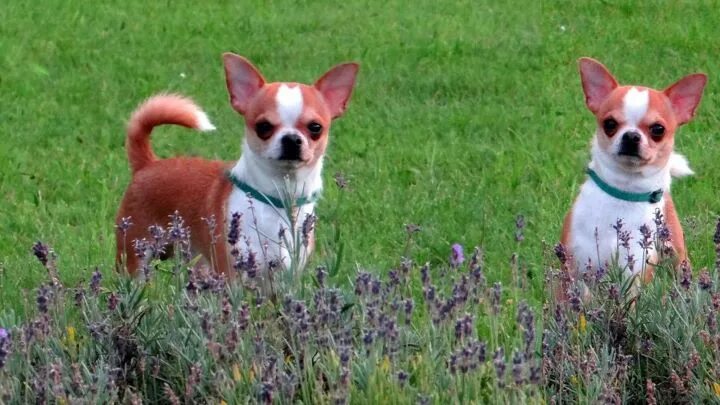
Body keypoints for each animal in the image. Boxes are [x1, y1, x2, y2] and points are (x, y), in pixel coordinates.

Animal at [116, 52, 360, 274]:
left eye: (315, 128)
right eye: (263, 127)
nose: (291, 139)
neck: (278, 201)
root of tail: (148, 163)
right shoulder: (233, 276)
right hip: (134, 258)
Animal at [560, 57, 704, 280]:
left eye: (658, 130)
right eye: (609, 124)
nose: (631, 136)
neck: (624, 192)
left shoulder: (635, 272)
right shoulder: (572, 270)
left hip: (678, 258)